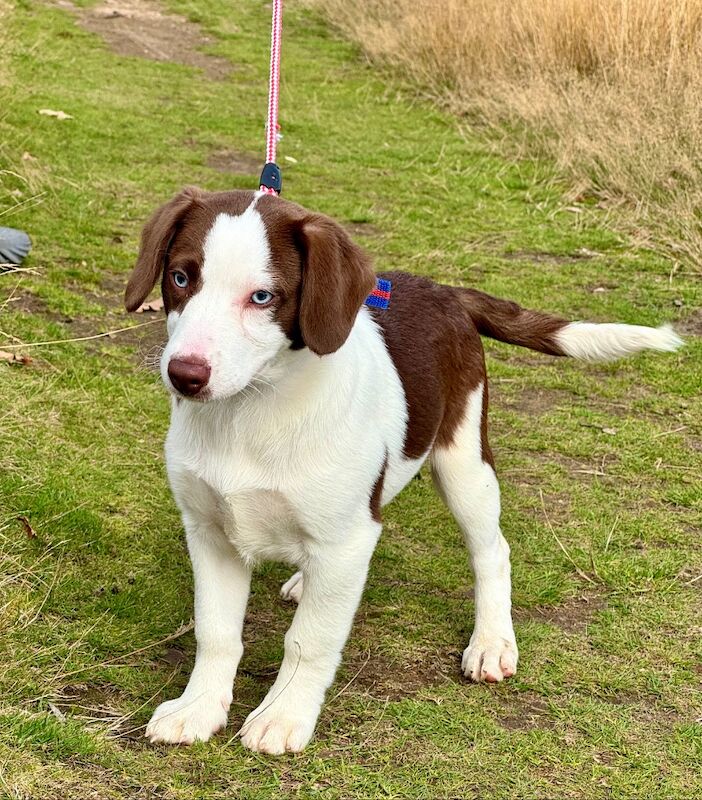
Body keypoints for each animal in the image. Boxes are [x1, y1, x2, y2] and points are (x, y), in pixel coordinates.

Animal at [125, 186, 680, 752]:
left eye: (262, 297)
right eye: (180, 278)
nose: (184, 375)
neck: (251, 412)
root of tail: (446, 292)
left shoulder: (341, 539)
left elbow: (309, 638)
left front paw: (283, 714)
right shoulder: (210, 532)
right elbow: (215, 631)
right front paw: (197, 708)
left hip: (464, 460)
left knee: (491, 551)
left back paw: (491, 641)